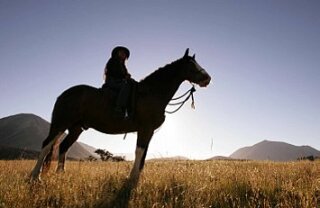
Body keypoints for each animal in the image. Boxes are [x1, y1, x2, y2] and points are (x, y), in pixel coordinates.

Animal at [29, 48, 210, 185]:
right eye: (191, 65)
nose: (208, 79)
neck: (151, 93)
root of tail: (64, 94)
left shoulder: (148, 131)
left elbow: (144, 154)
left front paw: (137, 178)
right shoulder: (145, 129)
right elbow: (139, 152)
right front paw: (132, 178)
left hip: (76, 128)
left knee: (63, 147)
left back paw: (61, 175)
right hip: (61, 123)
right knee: (47, 145)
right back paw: (34, 177)